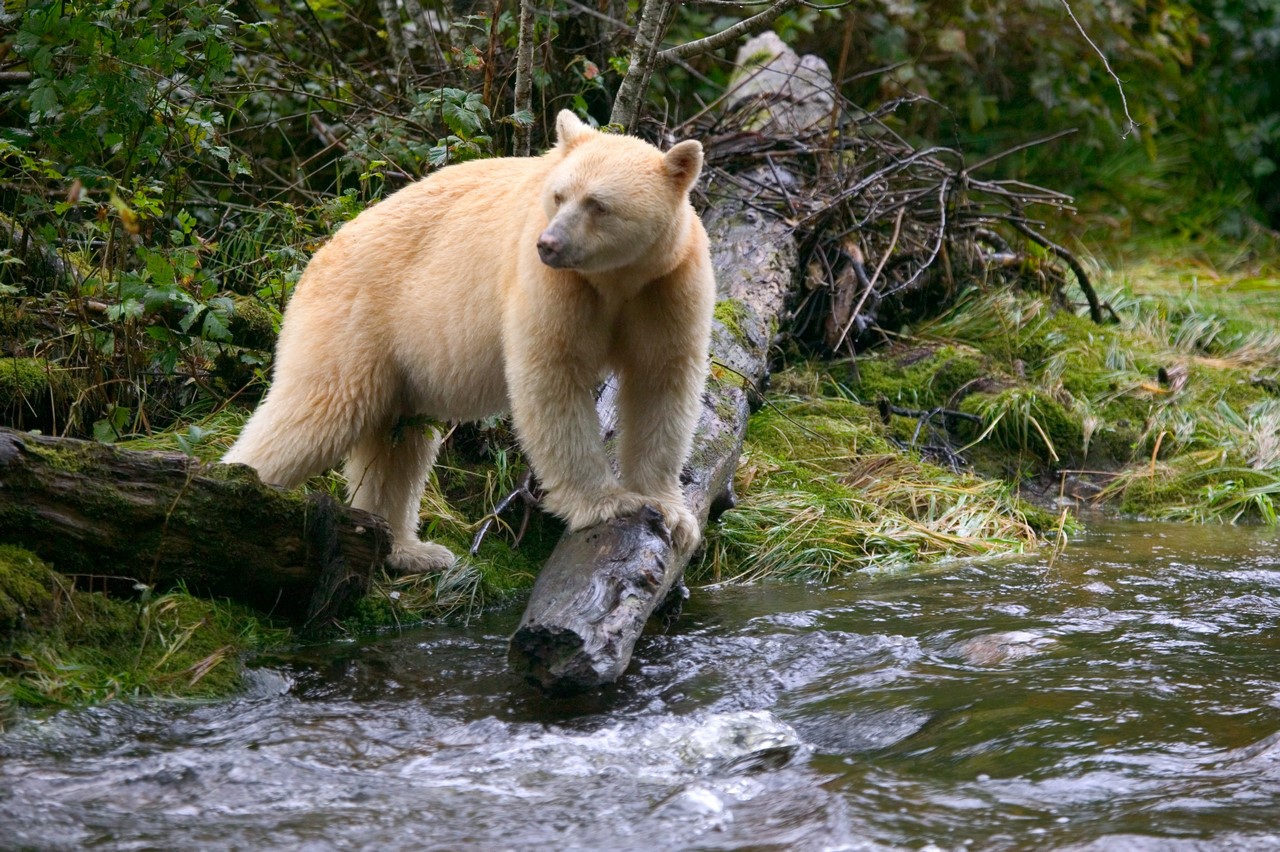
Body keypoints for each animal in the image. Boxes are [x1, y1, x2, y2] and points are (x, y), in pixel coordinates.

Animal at [224, 108, 716, 570]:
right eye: (558, 195)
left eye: (598, 204)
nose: (549, 243)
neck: (615, 280)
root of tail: (318, 254)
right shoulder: (552, 286)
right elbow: (552, 379)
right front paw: (606, 503)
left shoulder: (666, 286)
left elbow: (661, 383)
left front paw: (671, 512)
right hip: (354, 319)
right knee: (319, 410)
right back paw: (240, 493)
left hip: (397, 363)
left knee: (397, 444)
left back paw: (409, 549)